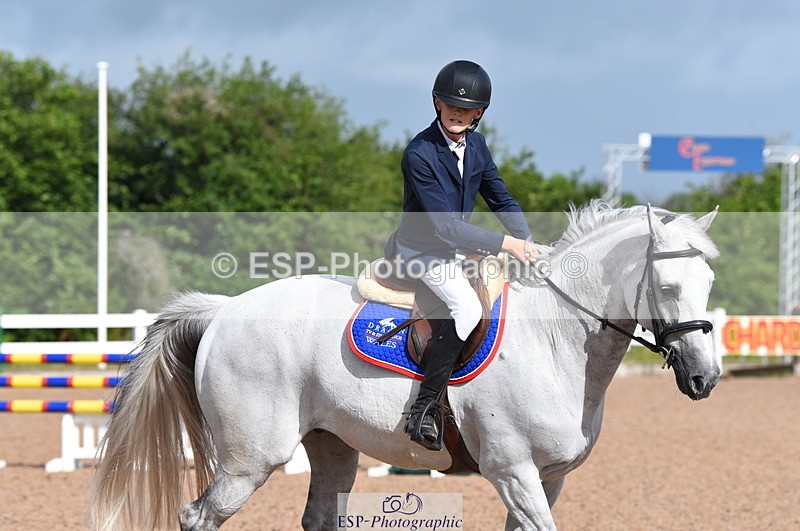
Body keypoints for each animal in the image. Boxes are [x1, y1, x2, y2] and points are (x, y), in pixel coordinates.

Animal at [89, 201, 720, 530]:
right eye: (667, 286)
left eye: (710, 282)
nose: (704, 379)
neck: (556, 343)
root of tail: (225, 310)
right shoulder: (513, 472)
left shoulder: (548, 478)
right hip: (251, 458)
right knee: (200, 516)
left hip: (331, 447)